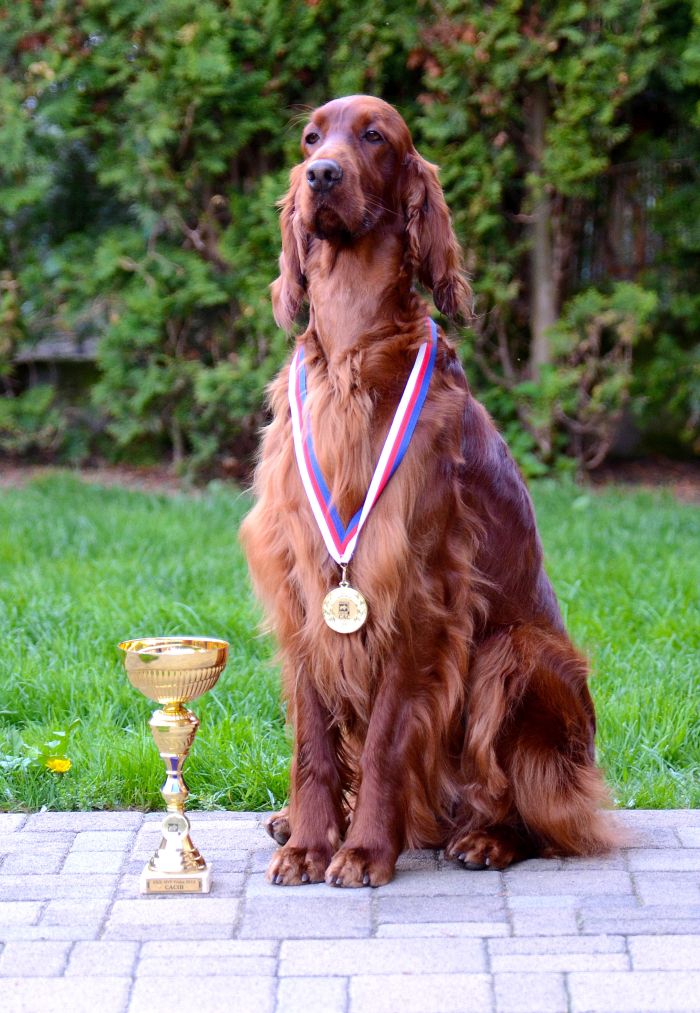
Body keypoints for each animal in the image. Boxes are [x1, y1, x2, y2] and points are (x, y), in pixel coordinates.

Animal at [238, 96, 615, 887]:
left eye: (375, 136)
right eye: (311, 138)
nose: (321, 175)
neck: (351, 359)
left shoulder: (415, 588)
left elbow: (385, 740)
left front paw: (362, 851)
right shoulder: (301, 586)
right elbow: (313, 741)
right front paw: (310, 843)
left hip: (519, 653)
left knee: (545, 816)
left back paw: (485, 837)